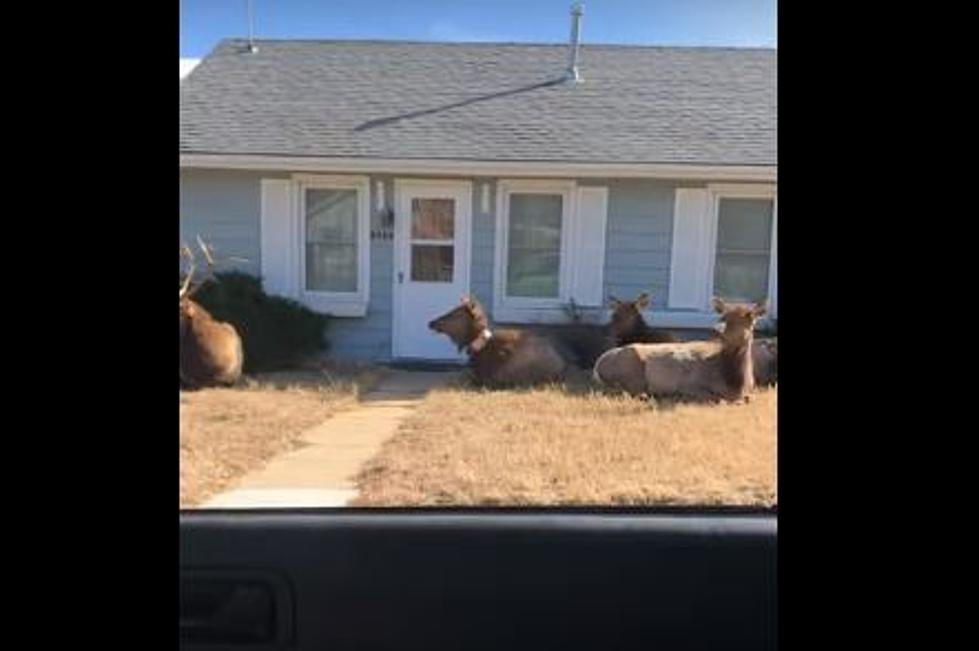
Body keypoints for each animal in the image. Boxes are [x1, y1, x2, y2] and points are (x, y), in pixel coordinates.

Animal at [592, 300, 768, 402]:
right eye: (723, 317)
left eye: (750, 317)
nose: (717, 330)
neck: (736, 383)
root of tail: (597, 365)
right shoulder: (689, 384)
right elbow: (717, 399)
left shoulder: (752, 388)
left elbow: (747, 399)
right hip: (631, 372)